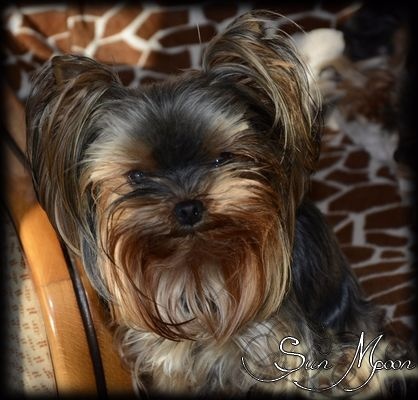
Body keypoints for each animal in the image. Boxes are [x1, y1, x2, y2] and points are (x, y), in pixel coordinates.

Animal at [26, 10, 404, 399]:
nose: (188, 207)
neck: (197, 266)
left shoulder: (280, 352)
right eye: (137, 176)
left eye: (222, 158)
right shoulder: (169, 361)